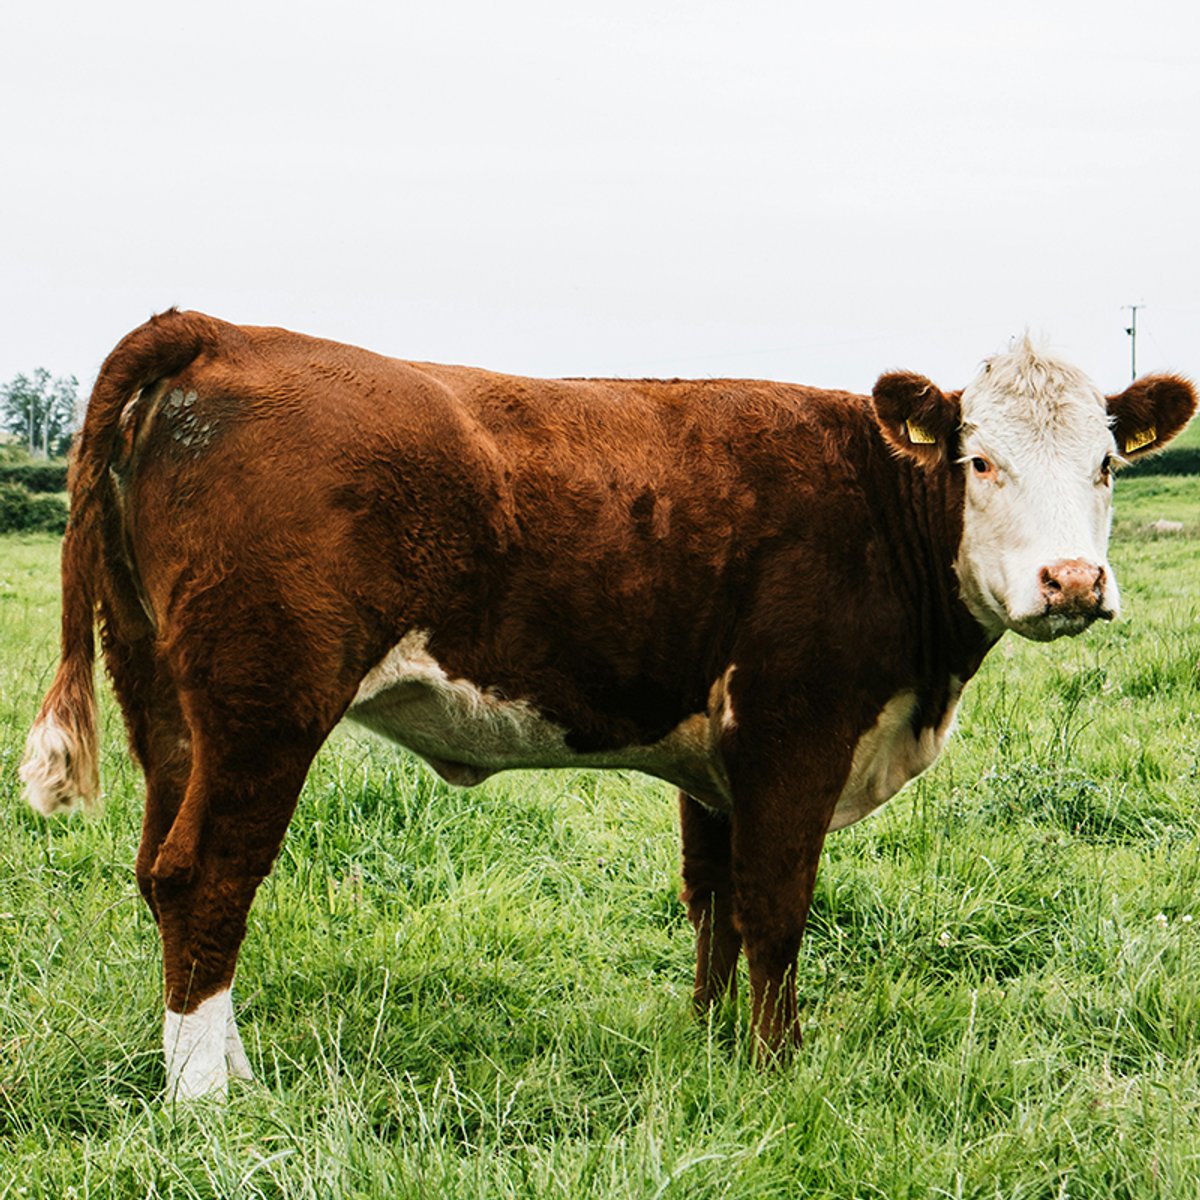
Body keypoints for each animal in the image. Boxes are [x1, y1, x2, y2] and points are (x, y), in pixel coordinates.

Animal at [20, 310, 1196, 1100]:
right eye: (979, 461)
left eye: (1105, 464)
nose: (1073, 583)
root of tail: (219, 333)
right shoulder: (795, 728)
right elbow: (778, 907)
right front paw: (780, 1068)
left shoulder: (717, 761)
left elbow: (714, 901)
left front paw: (714, 1045)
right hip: (264, 699)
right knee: (206, 876)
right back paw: (208, 1098)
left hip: (166, 698)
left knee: (159, 869)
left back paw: (226, 1067)